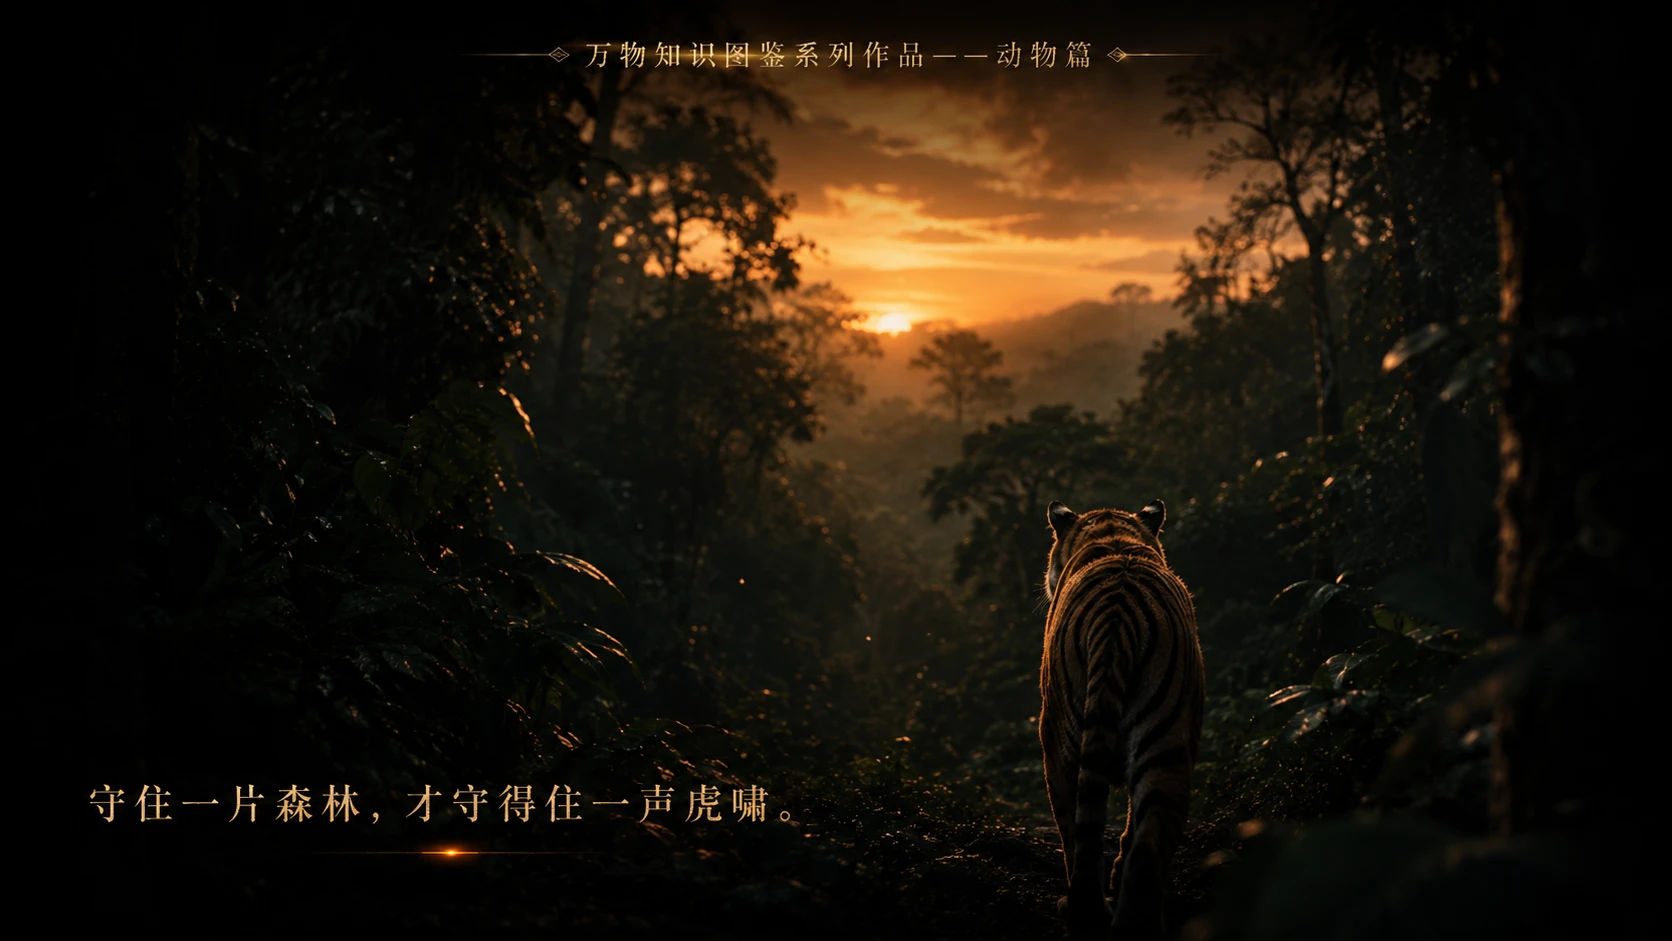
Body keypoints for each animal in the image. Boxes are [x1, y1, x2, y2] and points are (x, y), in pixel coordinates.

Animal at [1039, 499, 1205, 940]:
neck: (1114, 537)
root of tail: (1117, 615)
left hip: (1061, 743)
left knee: (1079, 838)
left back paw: (1081, 910)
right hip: (1166, 747)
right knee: (1147, 850)